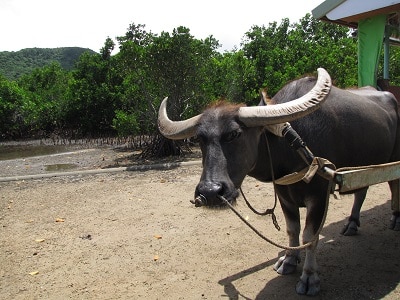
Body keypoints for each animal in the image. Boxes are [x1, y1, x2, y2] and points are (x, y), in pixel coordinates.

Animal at [156, 69, 400, 296]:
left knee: (393, 187)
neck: (292, 144)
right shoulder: (284, 194)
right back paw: (351, 224)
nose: (210, 192)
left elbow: (310, 236)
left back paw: (395, 219)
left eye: (234, 134)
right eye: (199, 138)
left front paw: (309, 278)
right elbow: (293, 229)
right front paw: (289, 260)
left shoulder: (319, 196)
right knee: (361, 191)